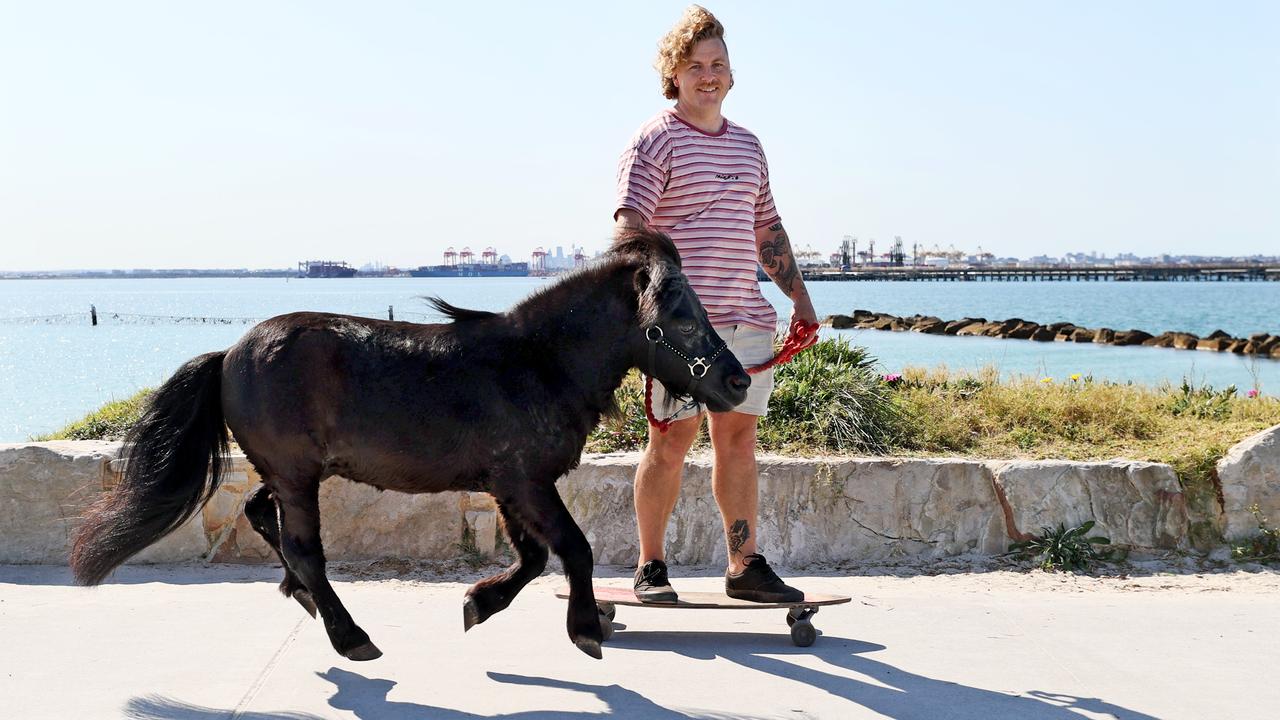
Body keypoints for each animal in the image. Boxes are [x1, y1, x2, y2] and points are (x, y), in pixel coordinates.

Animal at [70, 233, 747, 661]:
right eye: (680, 316)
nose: (738, 381)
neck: (537, 362)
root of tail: (229, 354)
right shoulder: (525, 480)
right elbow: (572, 549)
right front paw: (584, 628)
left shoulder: (505, 485)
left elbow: (531, 558)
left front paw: (480, 602)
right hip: (296, 473)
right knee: (303, 548)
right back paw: (349, 635)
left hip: (289, 471)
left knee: (262, 515)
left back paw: (306, 601)